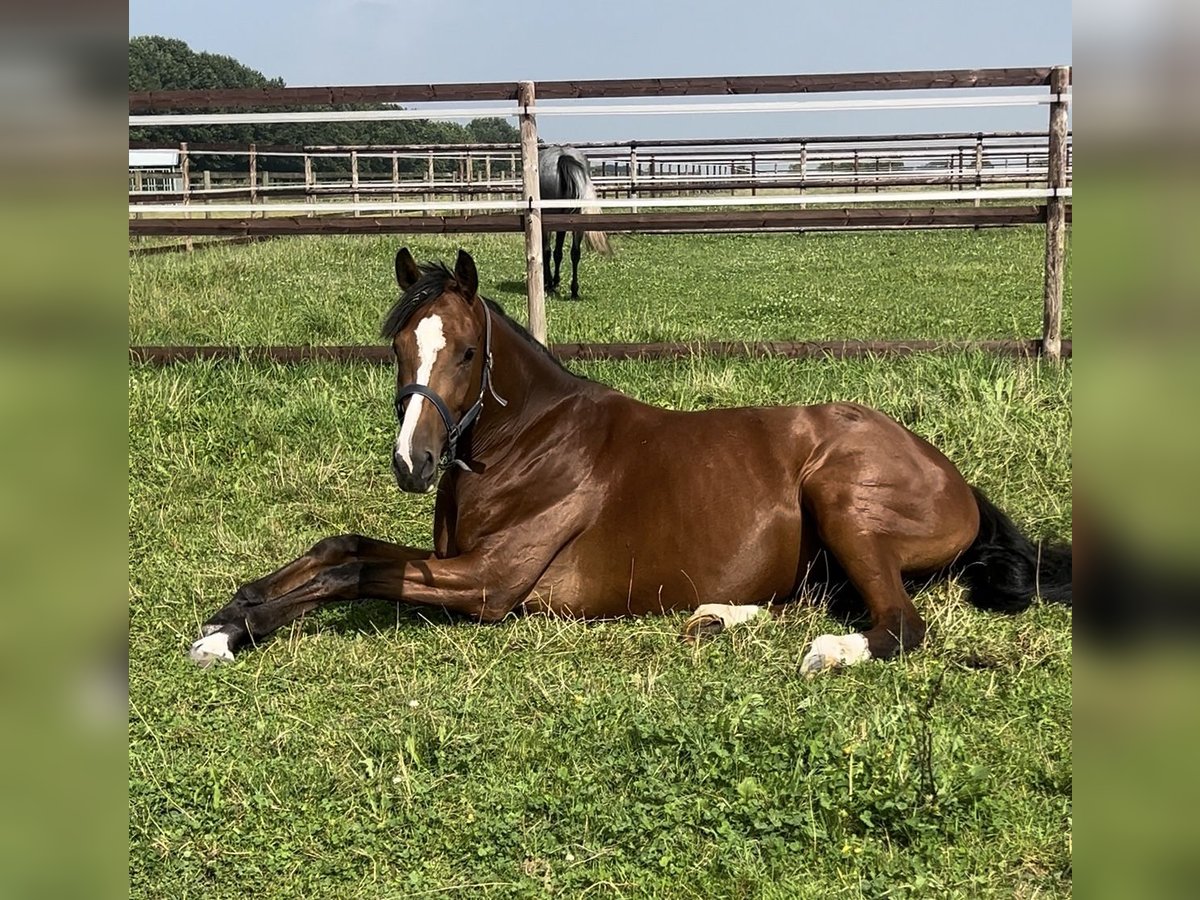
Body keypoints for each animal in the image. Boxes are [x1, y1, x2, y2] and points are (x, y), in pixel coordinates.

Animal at [192, 250, 1075, 672]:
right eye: (398, 347)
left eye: (468, 351)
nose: (413, 463)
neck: (534, 442)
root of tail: (960, 483)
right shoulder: (451, 559)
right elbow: (340, 546)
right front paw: (231, 618)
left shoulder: (487, 584)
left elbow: (351, 572)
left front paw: (239, 628)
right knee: (819, 599)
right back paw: (716, 616)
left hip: (841, 498)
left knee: (897, 623)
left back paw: (825, 654)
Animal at [540, 144, 609, 300]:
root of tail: (563, 156)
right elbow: (558, 253)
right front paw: (555, 281)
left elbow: (548, 251)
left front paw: (550, 282)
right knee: (575, 253)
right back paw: (574, 291)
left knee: (547, 251)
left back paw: (550, 285)